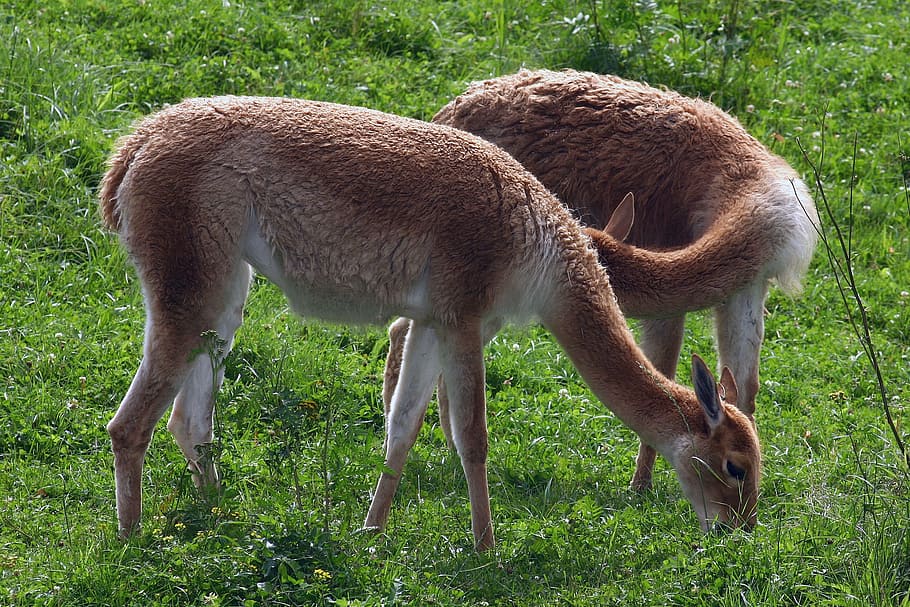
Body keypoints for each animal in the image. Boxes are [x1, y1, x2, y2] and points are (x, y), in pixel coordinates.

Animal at [99, 95, 761, 551]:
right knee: (128, 425)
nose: (741, 530)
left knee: (189, 418)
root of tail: (135, 144)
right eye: (735, 465)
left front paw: (372, 532)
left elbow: (403, 425)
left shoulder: (428, 322)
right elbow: (472, 436)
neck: (535, 250)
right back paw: (134, 542)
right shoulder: (461, 315)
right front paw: (486, 546)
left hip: (225, 290)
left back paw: (220, 514)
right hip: (190, 282)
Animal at [382, 69, 818, 492]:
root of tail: (448, 111)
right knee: (404, 329)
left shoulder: (748, 288)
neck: (739, 193)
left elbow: (745, 385)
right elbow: (665, 370)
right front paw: (641, 487)